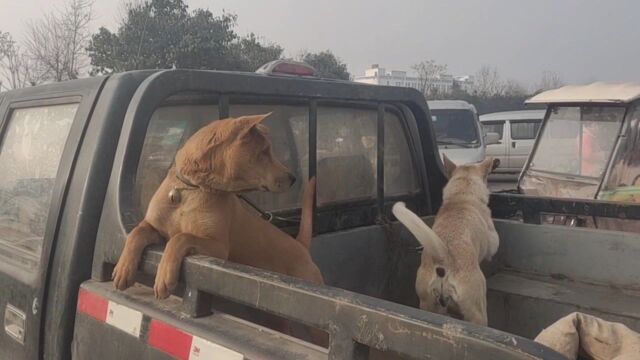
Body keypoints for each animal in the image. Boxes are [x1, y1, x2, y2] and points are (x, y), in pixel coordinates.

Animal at [112, 113, 322, 300]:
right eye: (264, 152)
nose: (293, 178)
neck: (191, 190)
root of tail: (301, 246)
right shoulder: (157, 229)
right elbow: (137, 232)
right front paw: (123, 268)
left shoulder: (218, 248)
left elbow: (181, 237)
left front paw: (165, 275)